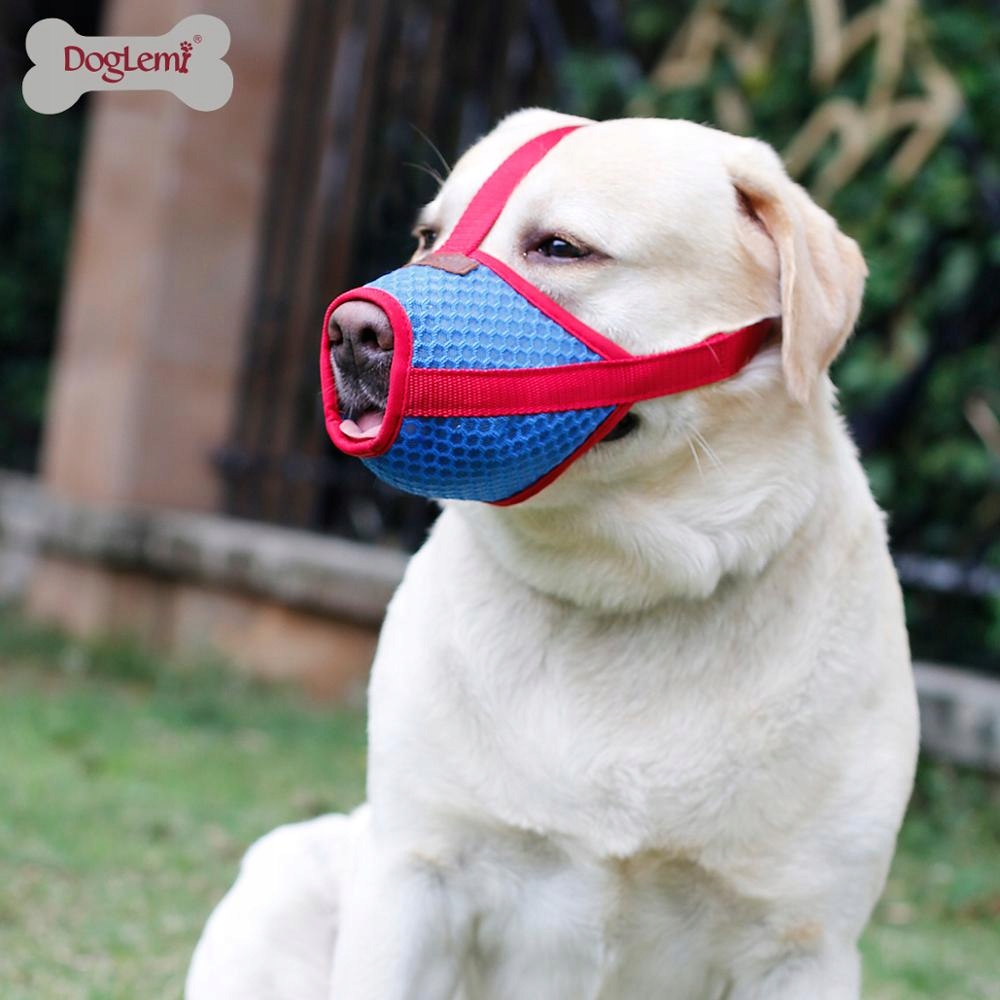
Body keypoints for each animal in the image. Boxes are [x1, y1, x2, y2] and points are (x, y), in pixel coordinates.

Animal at [187, 109, 919, 999]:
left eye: (561, 248)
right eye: (428, 237)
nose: (352, 334)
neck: (623, 589)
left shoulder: (802, 941)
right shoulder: (414, 874)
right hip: (292, 868)